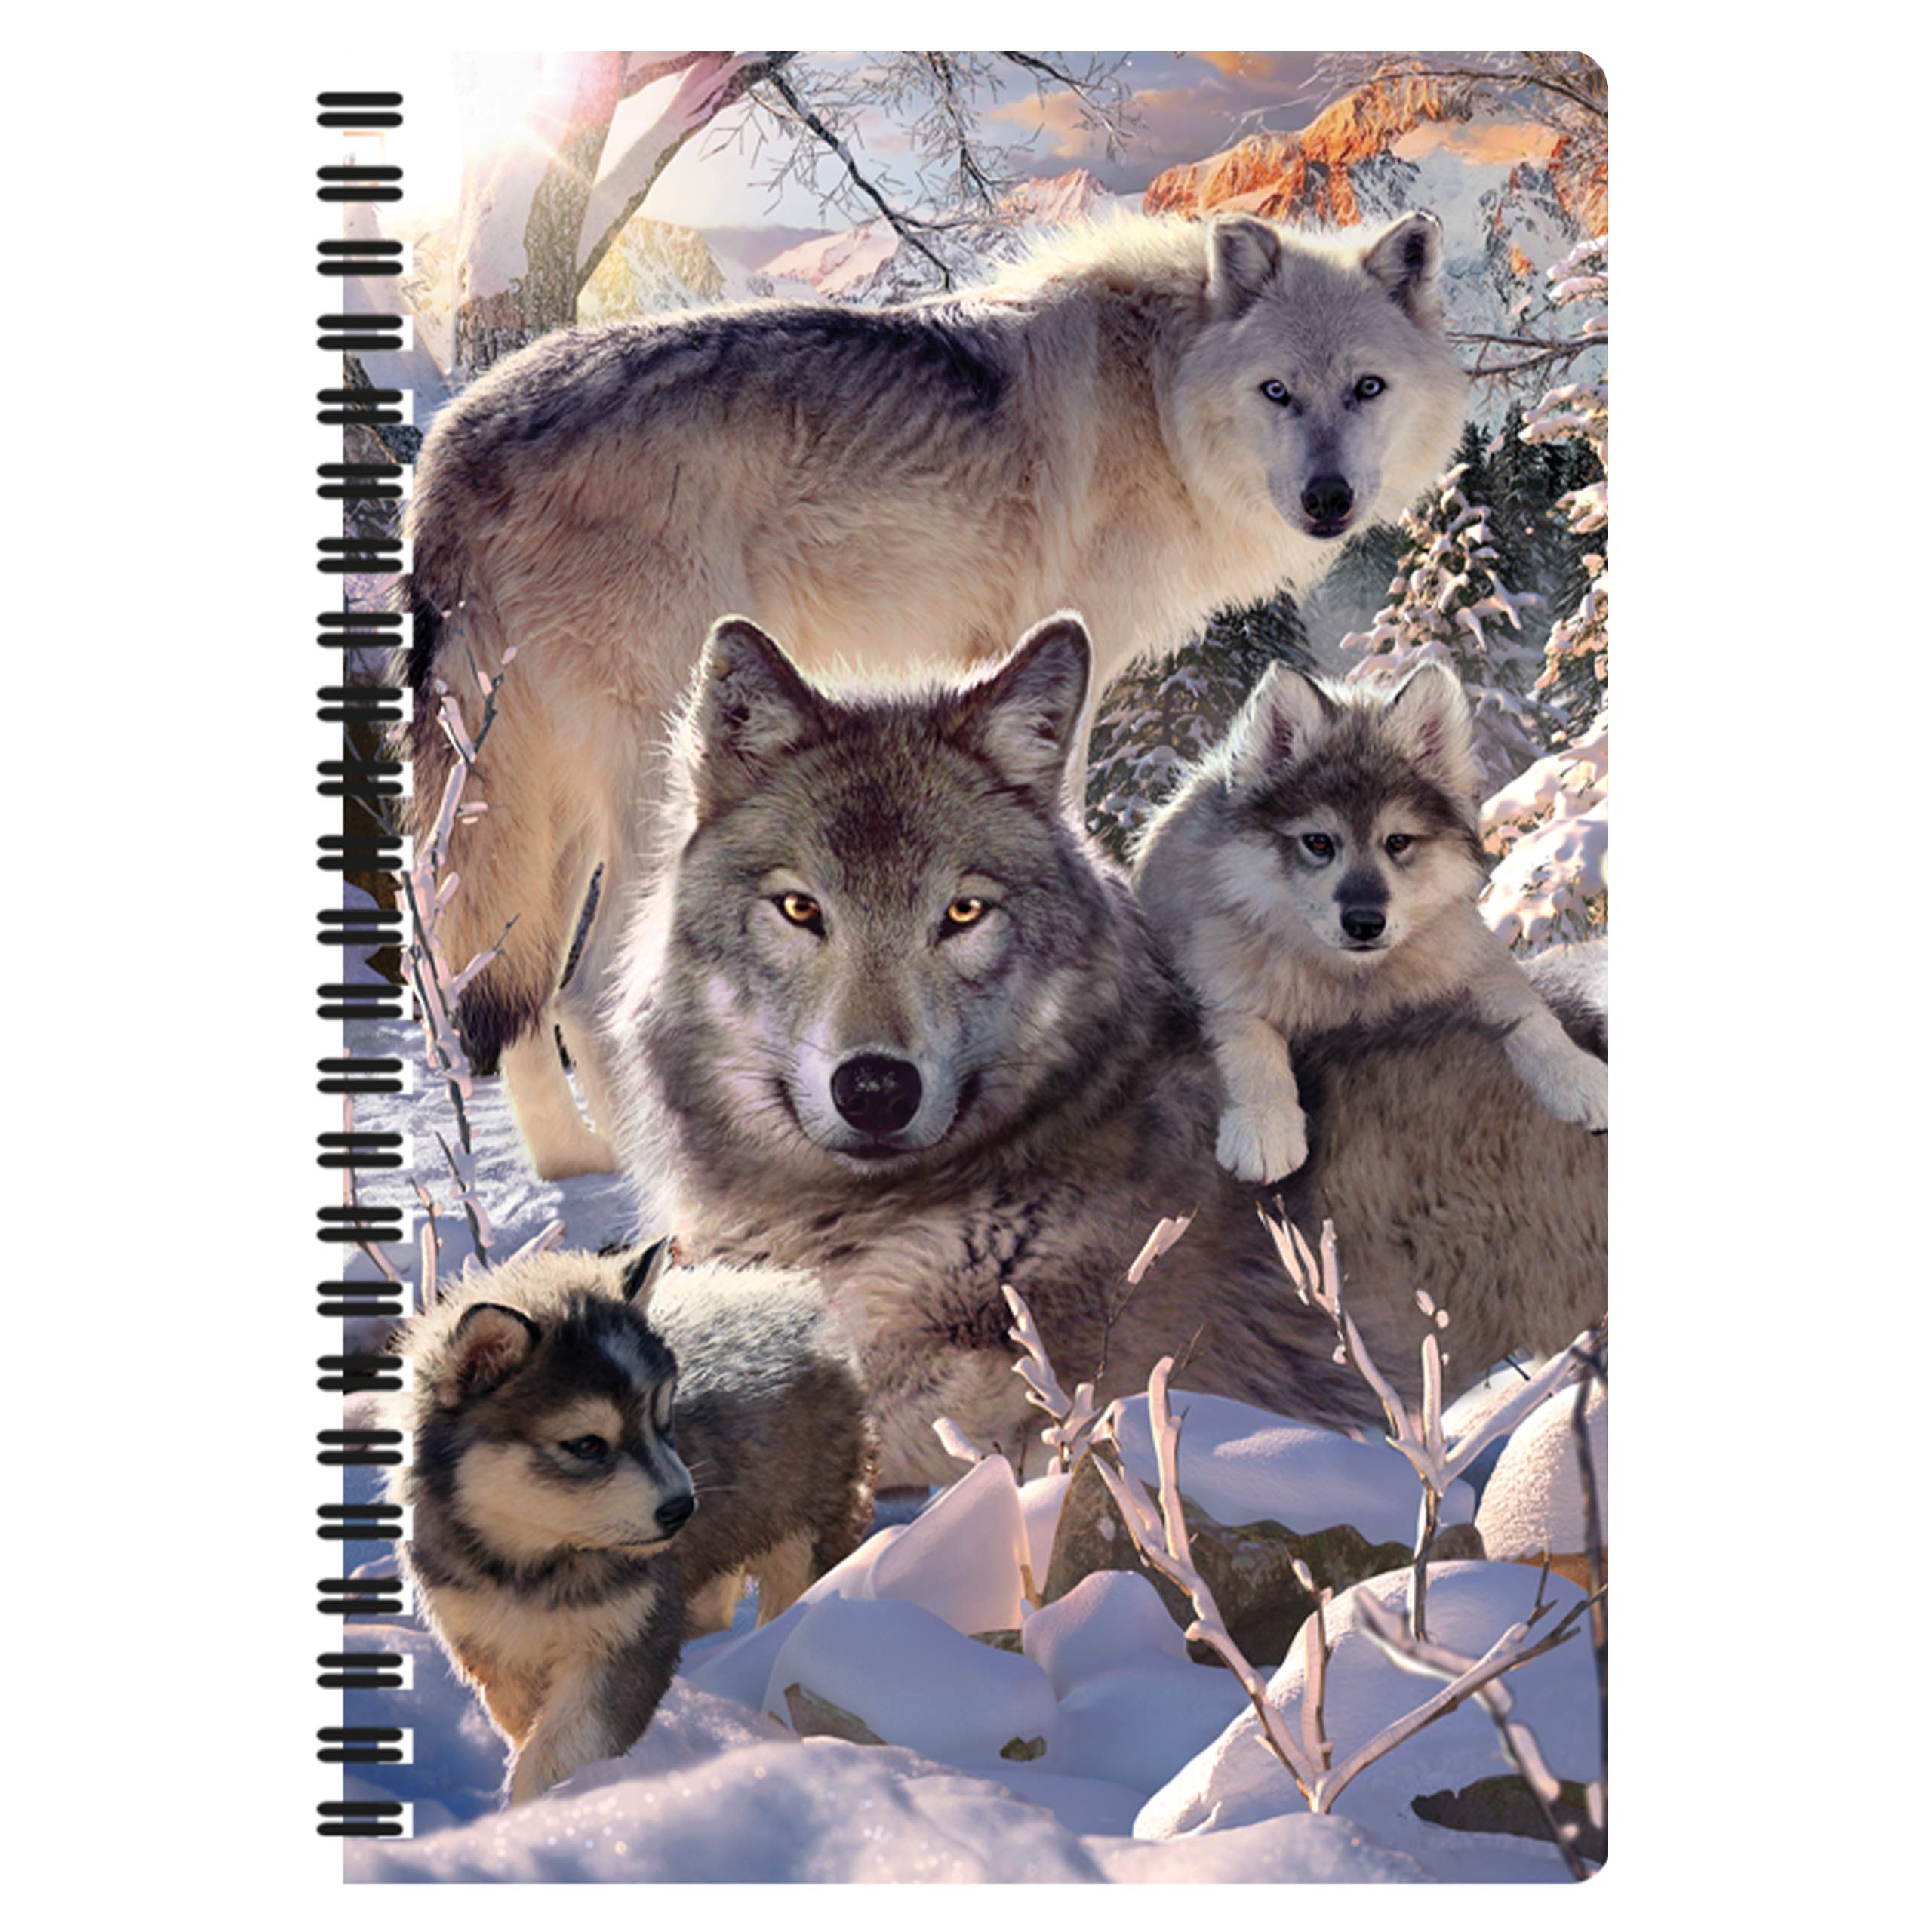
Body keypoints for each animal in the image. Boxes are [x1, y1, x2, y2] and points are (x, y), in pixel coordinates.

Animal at [391, 1240, 875, 1804]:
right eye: (586, 1445)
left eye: (663, 1418)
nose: (683, 1508)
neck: (534, 1561)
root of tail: (783, 1290)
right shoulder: (493, 1645)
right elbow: (526, 1725)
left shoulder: (629, 1637)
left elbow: (562, 1745)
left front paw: (544, 1806)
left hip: (804, 1531)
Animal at [402, 207, 1468, 1177]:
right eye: (1277, 391)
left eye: (1366, 388)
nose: (1329, 500)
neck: (1161, 396)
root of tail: (454, 438)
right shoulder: (1074, 650)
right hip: (646, 783)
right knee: (585, 992)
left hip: (542, 804)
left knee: (512, 987)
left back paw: (574, 1167)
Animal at [1134, 661, 1610, 1182]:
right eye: (1318, 842)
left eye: (1398, 841)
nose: (1365, 923)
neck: (1355, 983)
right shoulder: (1217, 980)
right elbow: (1248, 1038)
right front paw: (1264, 1126)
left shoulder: (1473, 959)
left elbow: (1531, 1017)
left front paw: (1581, 1076)